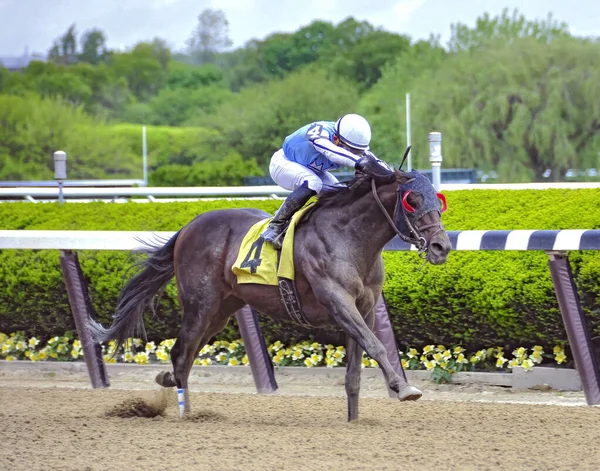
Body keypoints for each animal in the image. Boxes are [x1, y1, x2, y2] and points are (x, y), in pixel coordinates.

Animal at [89, 154, 450, 420]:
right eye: (412, 200)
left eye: (439, 199)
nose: (441, 247)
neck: (348, 237)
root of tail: (189, 226)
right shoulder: (338, 301)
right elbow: (376, 346)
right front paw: (404, 388)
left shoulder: (365, 307)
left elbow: (355, 372)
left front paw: (354, 421)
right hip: (200, 304)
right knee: (181, 353)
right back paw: (185, 414)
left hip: (221, 311)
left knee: (185, 355)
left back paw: (171, 388)